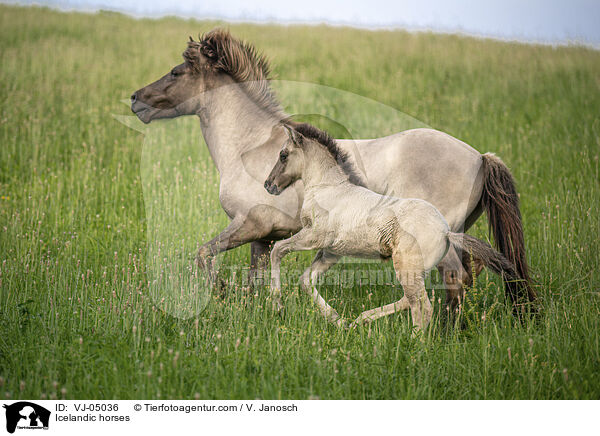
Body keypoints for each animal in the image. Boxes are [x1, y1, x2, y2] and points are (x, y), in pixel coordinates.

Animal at [131, 29, 536, 308]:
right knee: (467, 276)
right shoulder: (264, 237)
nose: (136, 99)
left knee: (455, 279)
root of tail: (479, 157)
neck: (250, 147)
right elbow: (253, 279)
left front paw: (221, 292)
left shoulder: (249, 225)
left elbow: (203, 254)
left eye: (176, 72)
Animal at [264, 123, 528, 330]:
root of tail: (445, 232)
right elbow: (306, 280)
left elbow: (277, 250)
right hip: (415, 270)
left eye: (283, 155)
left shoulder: (314, 237)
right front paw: (337, 319)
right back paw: (360, 320)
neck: (328, 188)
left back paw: (415, 343)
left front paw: (277, 304)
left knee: (423, 305)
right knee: (410, 300)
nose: (269, 184)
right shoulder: (332, 251)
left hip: (406, 266)